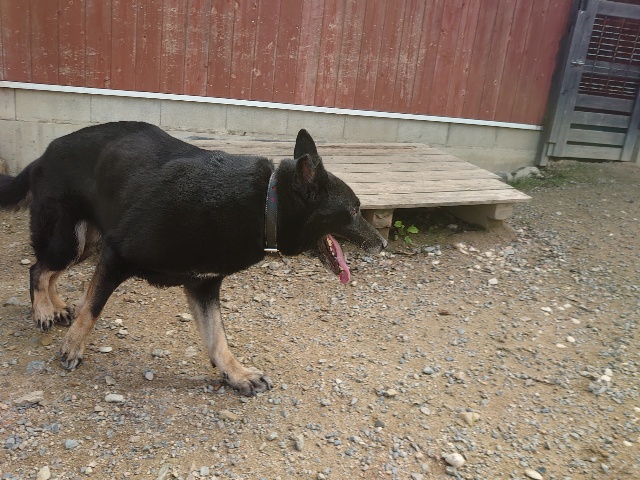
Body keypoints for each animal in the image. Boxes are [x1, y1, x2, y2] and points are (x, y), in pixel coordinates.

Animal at [0, 121, 386, 395]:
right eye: (354, 210)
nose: (382, 243)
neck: (264, 204)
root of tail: (43, 155)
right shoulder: (116, 255)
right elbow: (92, 308)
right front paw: (72, 348)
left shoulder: (204, 285)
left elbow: (217, 338)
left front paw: (236, 374)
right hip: (71, 239)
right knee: (38, 269)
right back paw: (44, 311)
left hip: (83, 244)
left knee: (48, 271)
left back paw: (56, 306)